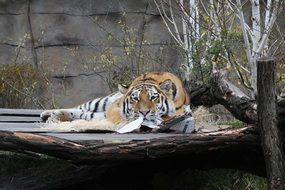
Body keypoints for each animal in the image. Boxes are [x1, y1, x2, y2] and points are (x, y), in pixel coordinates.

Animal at [40, 71, 190, 132]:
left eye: (153, 97)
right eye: (135, 98)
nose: (144, 112)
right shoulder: (114, 106)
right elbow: (117, 115)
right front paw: (124, 123)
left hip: (96, 112)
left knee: (83, 114)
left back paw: (55, 116)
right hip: (100, 102)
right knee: (79, 108)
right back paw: (47, 114)